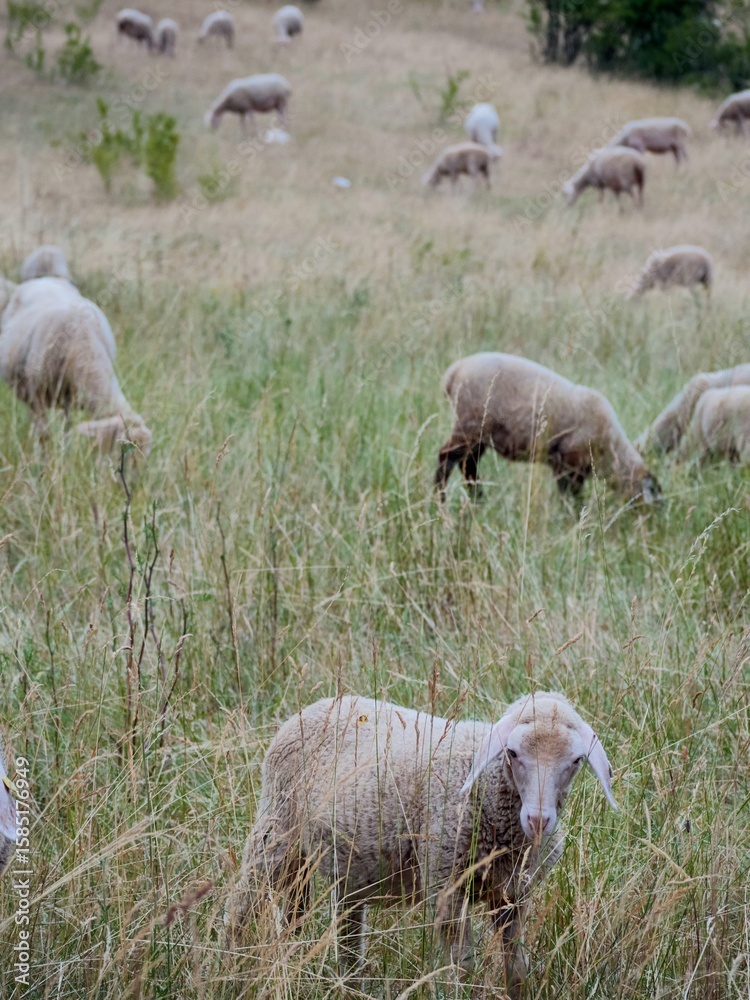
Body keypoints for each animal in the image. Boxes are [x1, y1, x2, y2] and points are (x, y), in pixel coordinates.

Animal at [0, 277, 151, 455]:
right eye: (124, 451)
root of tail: (44, 279)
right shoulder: (36, 396)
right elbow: (44, 436)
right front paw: (42, 460)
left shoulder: (71, 399)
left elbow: (66, 431)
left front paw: (65, 453)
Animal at [227, 691, 617, 997]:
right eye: (512, 753)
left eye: (576, 760)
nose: (538, 820)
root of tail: (314, 706)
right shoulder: (447, 887)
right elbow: (463, 968)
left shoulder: (513, 895)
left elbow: (516, 968)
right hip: (276, 830)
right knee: (242, 906)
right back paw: (234, 967)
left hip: (341, 865)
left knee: (333, 932)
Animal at [435, 352, 661, 504]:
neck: (613, 450)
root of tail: (453, 373)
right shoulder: (569, 465)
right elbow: (571, 497)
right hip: (469, 426)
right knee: (446, 457)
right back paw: (440, 499)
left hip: (479, 435)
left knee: (468, 465)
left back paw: (478, 500)